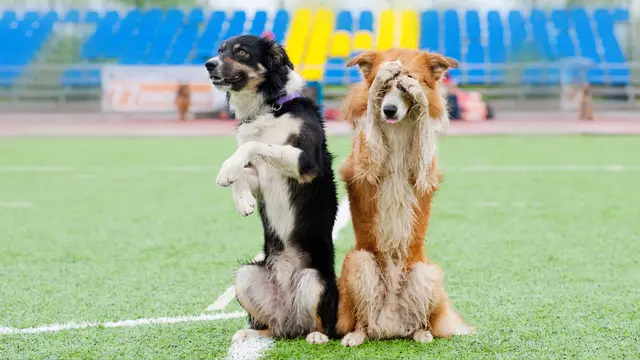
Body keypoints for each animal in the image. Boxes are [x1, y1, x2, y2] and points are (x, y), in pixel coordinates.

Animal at [206, 35, 340, 344]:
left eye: (241, 52)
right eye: (220, 50)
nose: (209, 64)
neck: (269, 108)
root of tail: (290, 316)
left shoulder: (305, 163)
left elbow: (253, 145)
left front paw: (226, 170)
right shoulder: (262, 176)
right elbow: (245, 167)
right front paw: (242, 200)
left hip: (313, 279)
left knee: (321, 324)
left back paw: (317, 336)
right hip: (246, 275)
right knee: (274, 328)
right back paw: (250, 333)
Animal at [338, 47, 472, 346]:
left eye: (405, 86)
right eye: (386, 87)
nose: (389, 110)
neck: (397, 130)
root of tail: (389, 324)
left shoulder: (423, 175)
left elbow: (423, 128)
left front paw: (419, 96)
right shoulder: (366, 167)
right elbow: (371, 114)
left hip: (426, 272)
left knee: (421, 321)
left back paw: (422, 333)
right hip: (359, 261)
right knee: (362, 318)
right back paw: (356, 335)